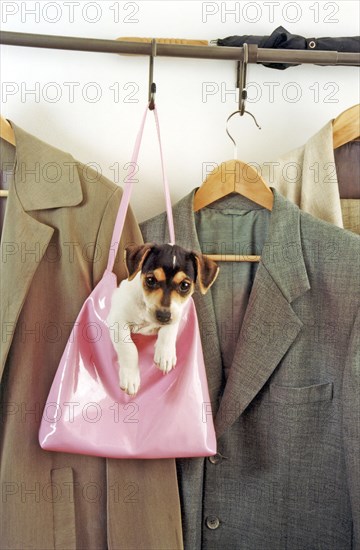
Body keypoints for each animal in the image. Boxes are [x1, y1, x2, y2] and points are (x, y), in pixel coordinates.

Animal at [107, 245, 219, 396]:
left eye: (185, 285)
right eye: (150, 280)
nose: (163, 316)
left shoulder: (176, 314)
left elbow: (169, 330)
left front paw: (165, 354)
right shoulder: (117, 321)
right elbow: (129, 348)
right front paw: (130, 377)